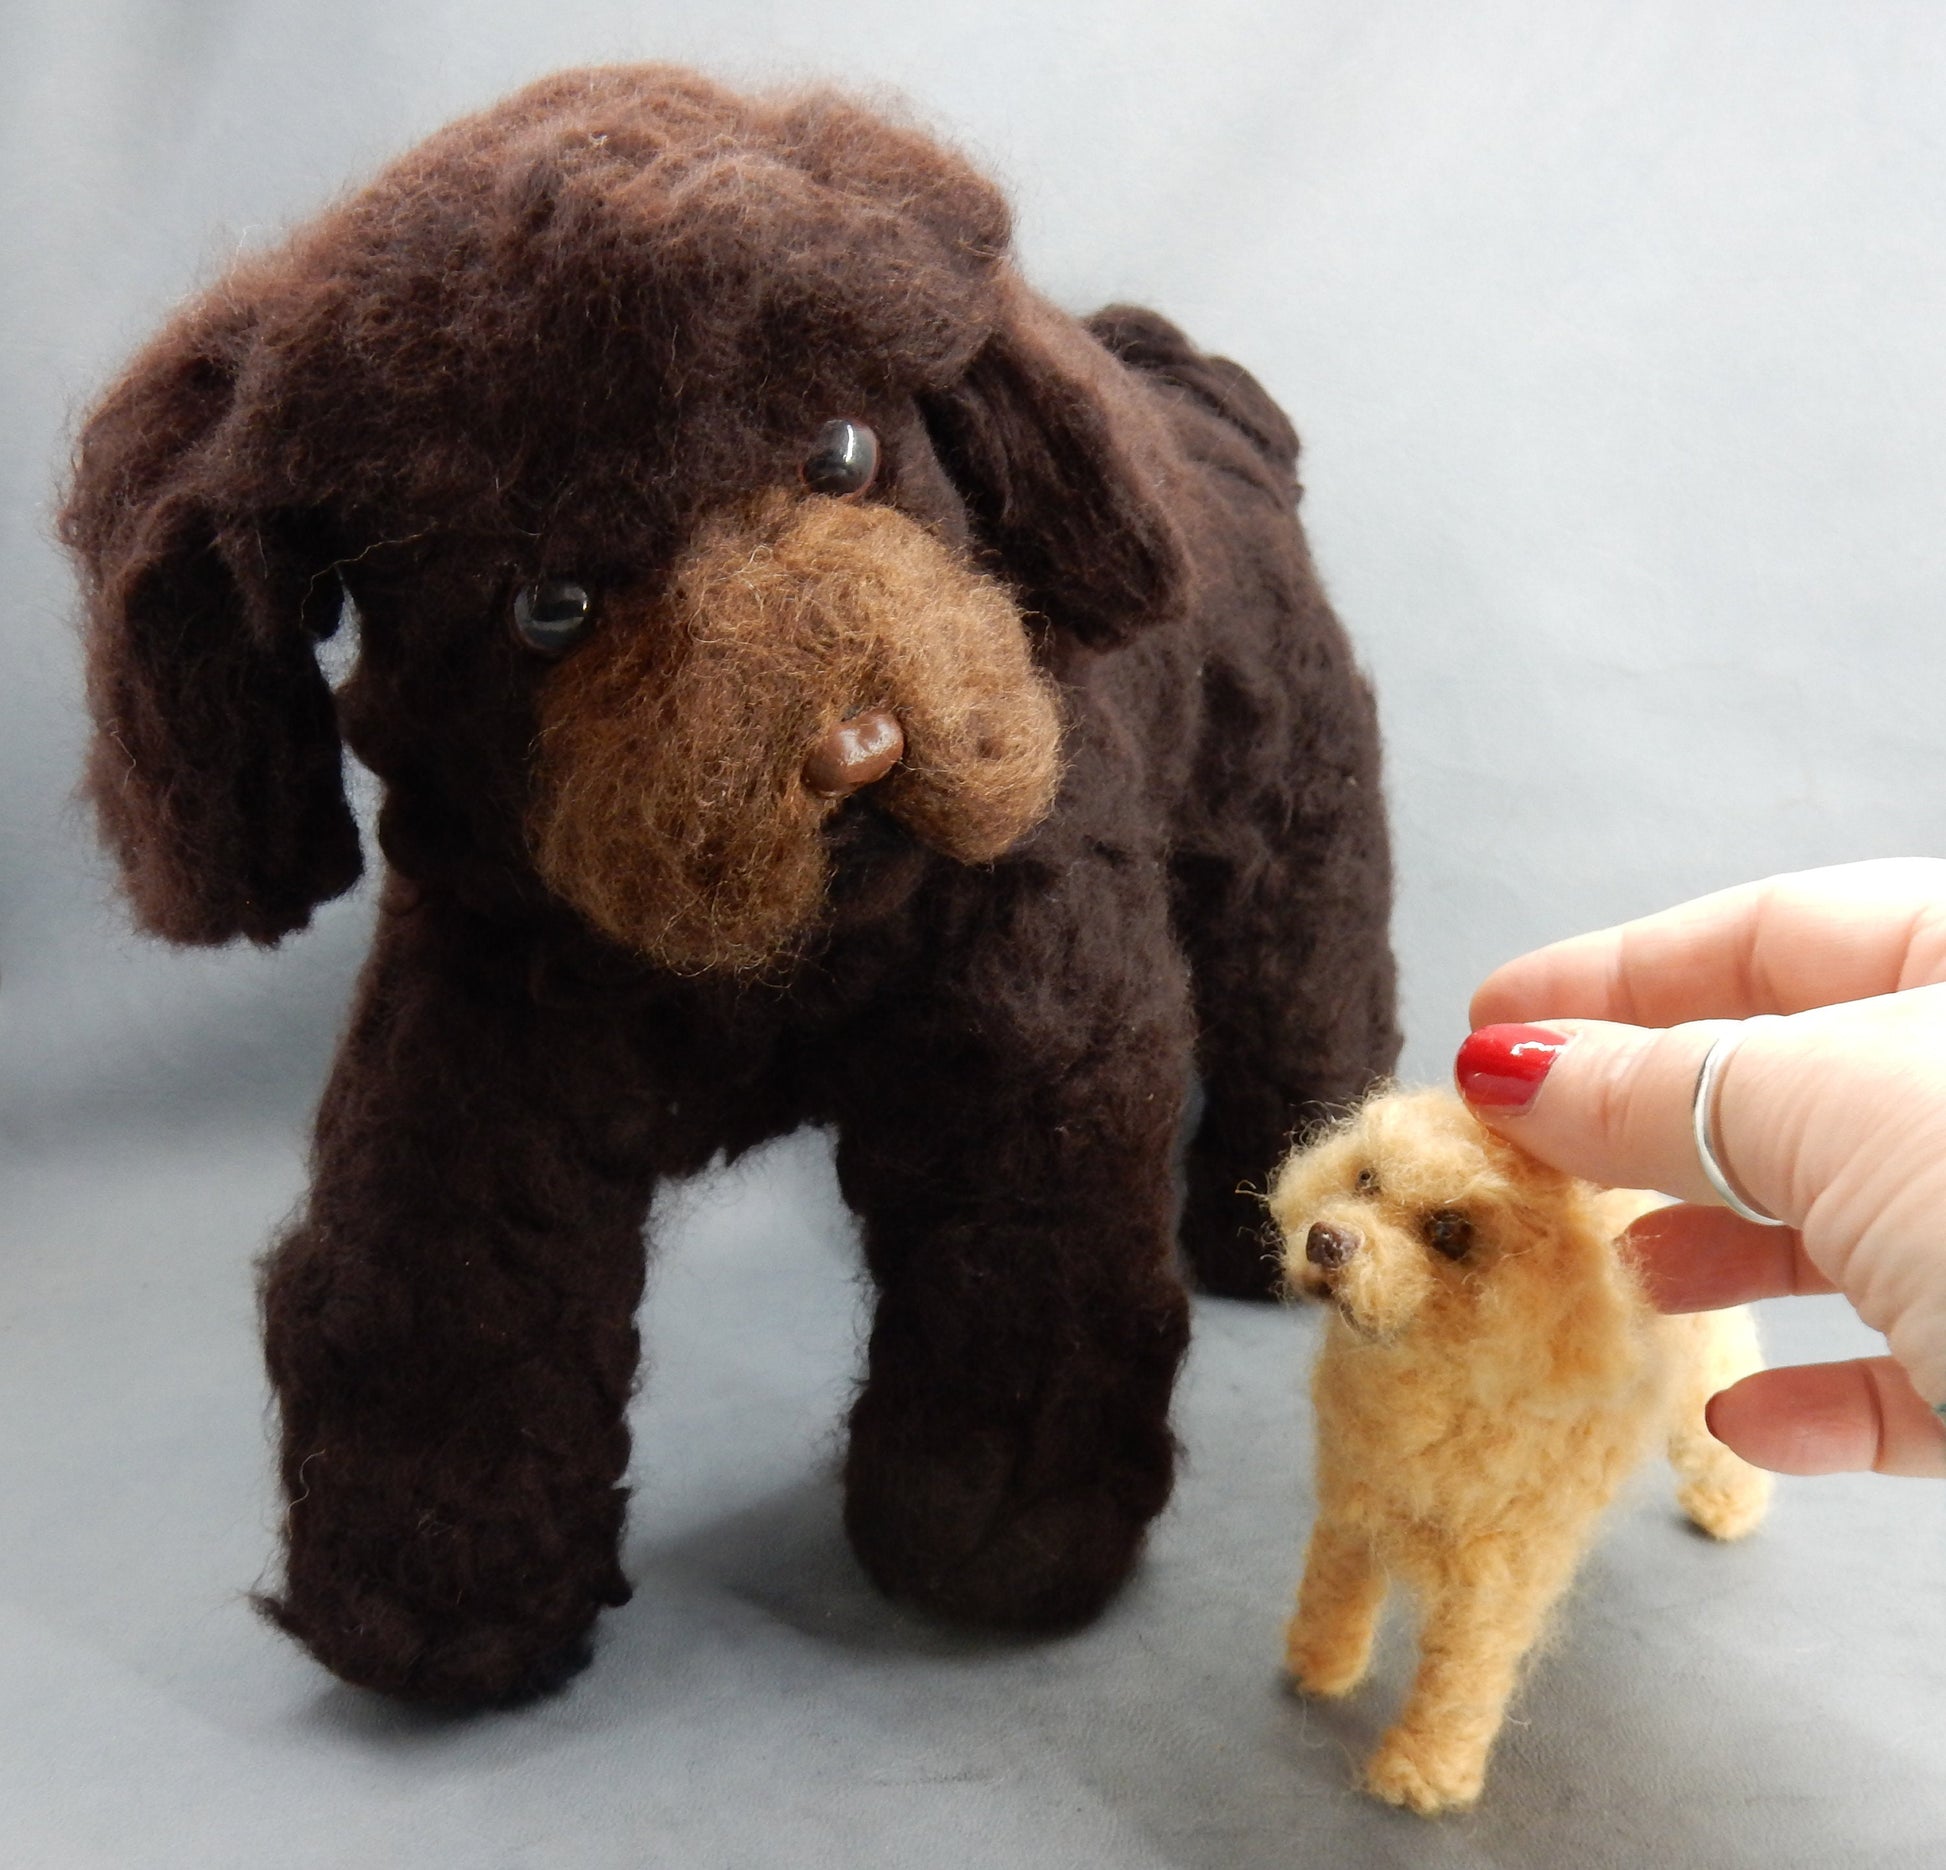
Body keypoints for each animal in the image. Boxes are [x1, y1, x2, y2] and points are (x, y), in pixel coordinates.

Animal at [60, 65, 1401, 1696]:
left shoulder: (1024, 1060)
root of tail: (1192, 399)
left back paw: (1285, 1228)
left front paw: (998, 1533)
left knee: (1305, 990)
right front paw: (437, 1580)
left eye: (842, 453)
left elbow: (1017, 1276)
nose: (854, 742)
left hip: (1286, 823)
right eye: (548, 606)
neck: (798, 953)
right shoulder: (476, 1065)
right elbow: (441, 1286)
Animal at [1268, 1097, 1774, 1805]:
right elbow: (1330, 1600)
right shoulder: (1351, 1513)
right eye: (1366, 1178)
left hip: (1702, 1393)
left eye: (1448, 1231)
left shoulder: (1491, 1588)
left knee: (1723, 1437)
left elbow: (1458, 1687)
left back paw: (1729, 1510)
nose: (1325, 1239)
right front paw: (1320, 1668)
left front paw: (1423, 1773)